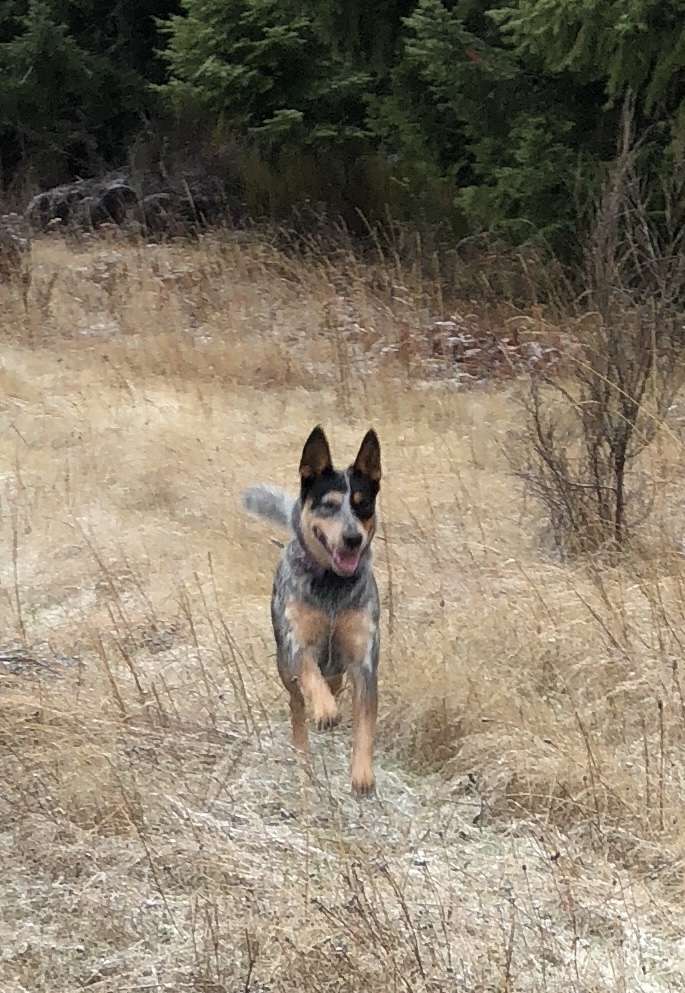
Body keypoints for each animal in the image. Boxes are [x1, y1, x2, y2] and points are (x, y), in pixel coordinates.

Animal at [242, 422, 382, 796]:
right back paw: (303, 751)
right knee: (297, 709)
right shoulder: (298, 647)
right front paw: (326, 712)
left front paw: (362, 774)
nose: (352, 539)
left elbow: (365, 724)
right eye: (329, 505)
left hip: (339, 671)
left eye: (362, 505)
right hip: (284, 669)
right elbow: (309, 676)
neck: (332, 586)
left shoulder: (364, 662)